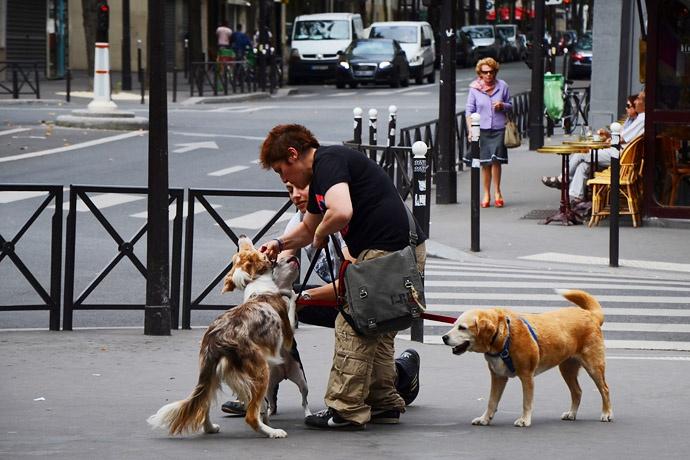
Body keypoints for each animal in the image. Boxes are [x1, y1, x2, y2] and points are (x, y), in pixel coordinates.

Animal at [148, 237, 310, 438]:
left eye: (238, 255)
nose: (241, 236)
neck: (258, 284)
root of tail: (215, 341)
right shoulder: (287, 332)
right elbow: (292, 302)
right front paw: (293, 294)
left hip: (212, 376)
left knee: (204, 405)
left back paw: (211, 428)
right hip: (262, 373)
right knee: (252, 415)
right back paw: (272, 432)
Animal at [440, 290, 608, 426]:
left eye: (462, 328)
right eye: (454, 325)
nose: (444, 337)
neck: (505, 338)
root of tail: (590, 314)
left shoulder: (527, 376)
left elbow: (526, 402)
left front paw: (525, 420)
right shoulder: (498, 376)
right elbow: (491, 401)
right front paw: (485, 419)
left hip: (594, 366)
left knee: (605, 389)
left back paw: (607, 413)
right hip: (567, 369)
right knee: (577, 391)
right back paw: (572, 413)